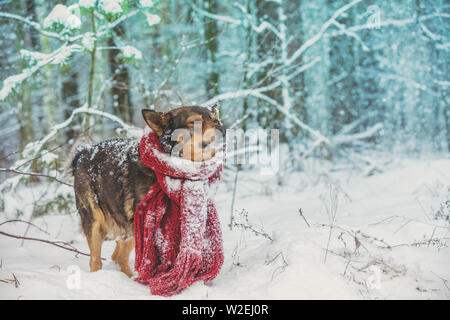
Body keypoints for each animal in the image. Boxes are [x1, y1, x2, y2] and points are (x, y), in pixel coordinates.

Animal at [73, 106, 225, 276]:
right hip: (96, 223)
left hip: (130, 227)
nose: (223, 129)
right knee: (96, 261)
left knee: (118, 257)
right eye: (194, 122)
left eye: (216, 120)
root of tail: (84, 152)